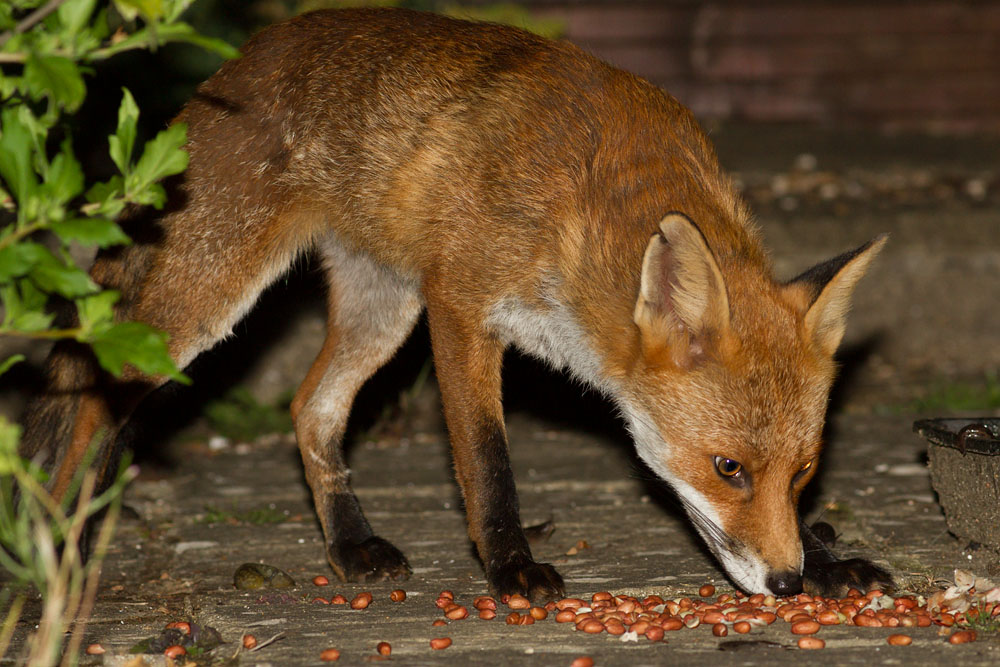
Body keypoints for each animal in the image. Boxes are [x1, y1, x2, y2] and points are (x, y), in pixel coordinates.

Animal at [20, 7, 892, 601]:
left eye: (803, 472)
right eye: (728, 467)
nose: (785, 582)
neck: (581, 206)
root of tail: (223, 74)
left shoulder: (439, 305)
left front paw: (828, 558)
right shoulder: (461, 305)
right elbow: (485, 459)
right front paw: (510, 566)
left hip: (380, 309)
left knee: (310, 407)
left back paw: (350, 544)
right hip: (209, 301)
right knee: (92, 391)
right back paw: (52, 548)